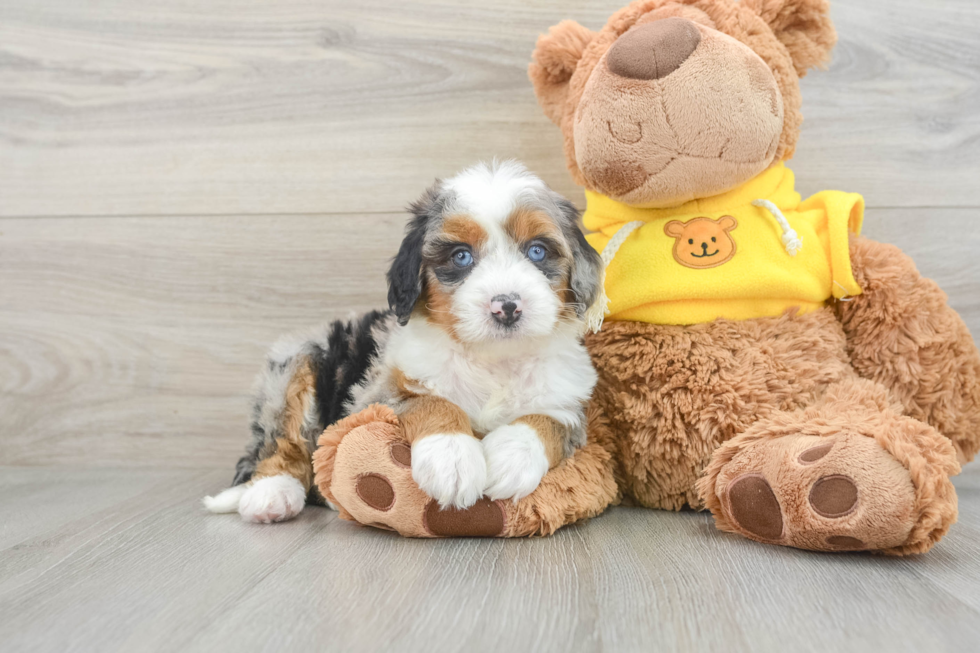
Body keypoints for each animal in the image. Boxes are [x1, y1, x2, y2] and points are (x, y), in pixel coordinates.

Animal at [205, 160, 604, 524]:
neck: (493, 360)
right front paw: (452, 458)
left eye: (537, 251)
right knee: (281, 441)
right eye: (461, 256)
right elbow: (429, 400)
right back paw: (272, 495)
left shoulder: (568, 399)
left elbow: (551, 420)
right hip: (297, 359)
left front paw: (511, 457)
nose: (506, 306)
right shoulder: (373, 396)